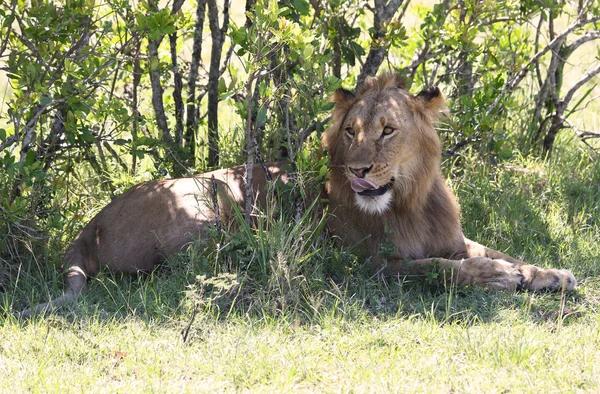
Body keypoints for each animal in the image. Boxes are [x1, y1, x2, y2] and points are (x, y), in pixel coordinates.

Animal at [21, 72, 576, 318]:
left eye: (388, 130)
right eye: (351, 131)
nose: (357, 171)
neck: (409, 201)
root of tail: (90, 225)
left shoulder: (454, 239)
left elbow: (499, 252)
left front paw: (551, 274)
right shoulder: (369, 264)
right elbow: (439, 269)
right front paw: (499, 277)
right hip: (206, 197)